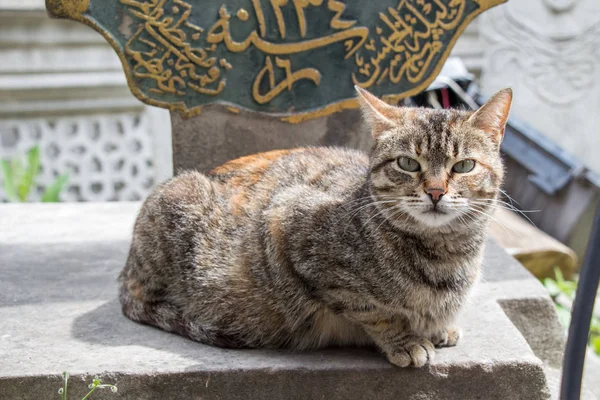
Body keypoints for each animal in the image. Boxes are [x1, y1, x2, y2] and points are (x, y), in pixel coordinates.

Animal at [119, 86, 512, 368]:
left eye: (463, 166)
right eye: (407, 164)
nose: (435, 191)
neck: (445, 255)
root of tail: (126, 269)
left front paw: (438, 328)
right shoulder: (287, 223)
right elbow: (375, 312)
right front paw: (407, 341)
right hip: (181, 199)